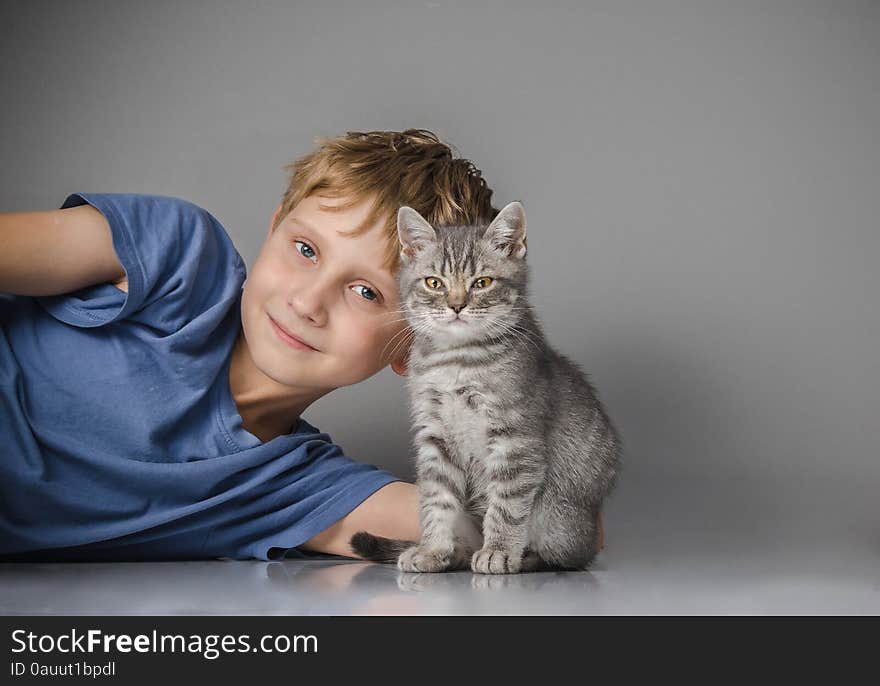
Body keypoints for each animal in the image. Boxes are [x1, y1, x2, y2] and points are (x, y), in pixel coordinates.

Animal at [350, 204, 620, 576]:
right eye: (434, 283)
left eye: (482, 282)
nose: (456, 305)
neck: (457, 360)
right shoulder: (434, 436)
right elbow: (436, 499)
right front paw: (433, 549)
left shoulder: (516, 439)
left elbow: (506, 504)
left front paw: (498, 551)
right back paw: (457, 553)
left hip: (557, 517)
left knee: (567, 558)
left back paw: (521, 556)